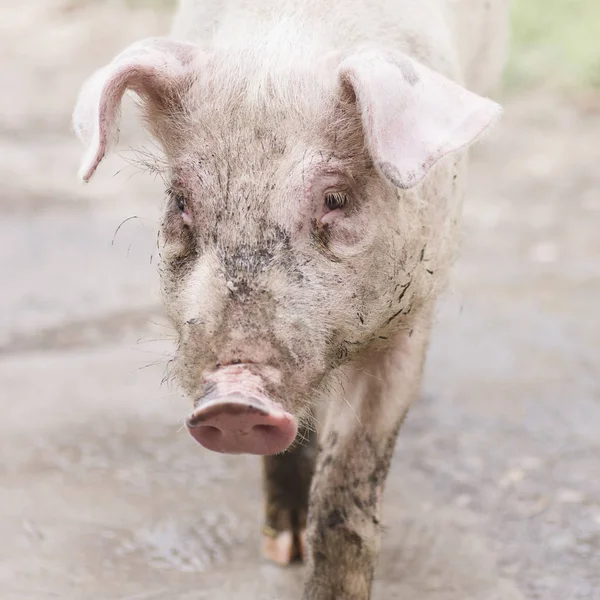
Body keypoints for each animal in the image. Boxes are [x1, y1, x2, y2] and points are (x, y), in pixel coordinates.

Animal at [72, 0, 508, 596]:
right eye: (180, 200)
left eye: (335, 198)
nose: (234, 398)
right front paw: (281, 553)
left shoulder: (410, 318)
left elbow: (346, 491)